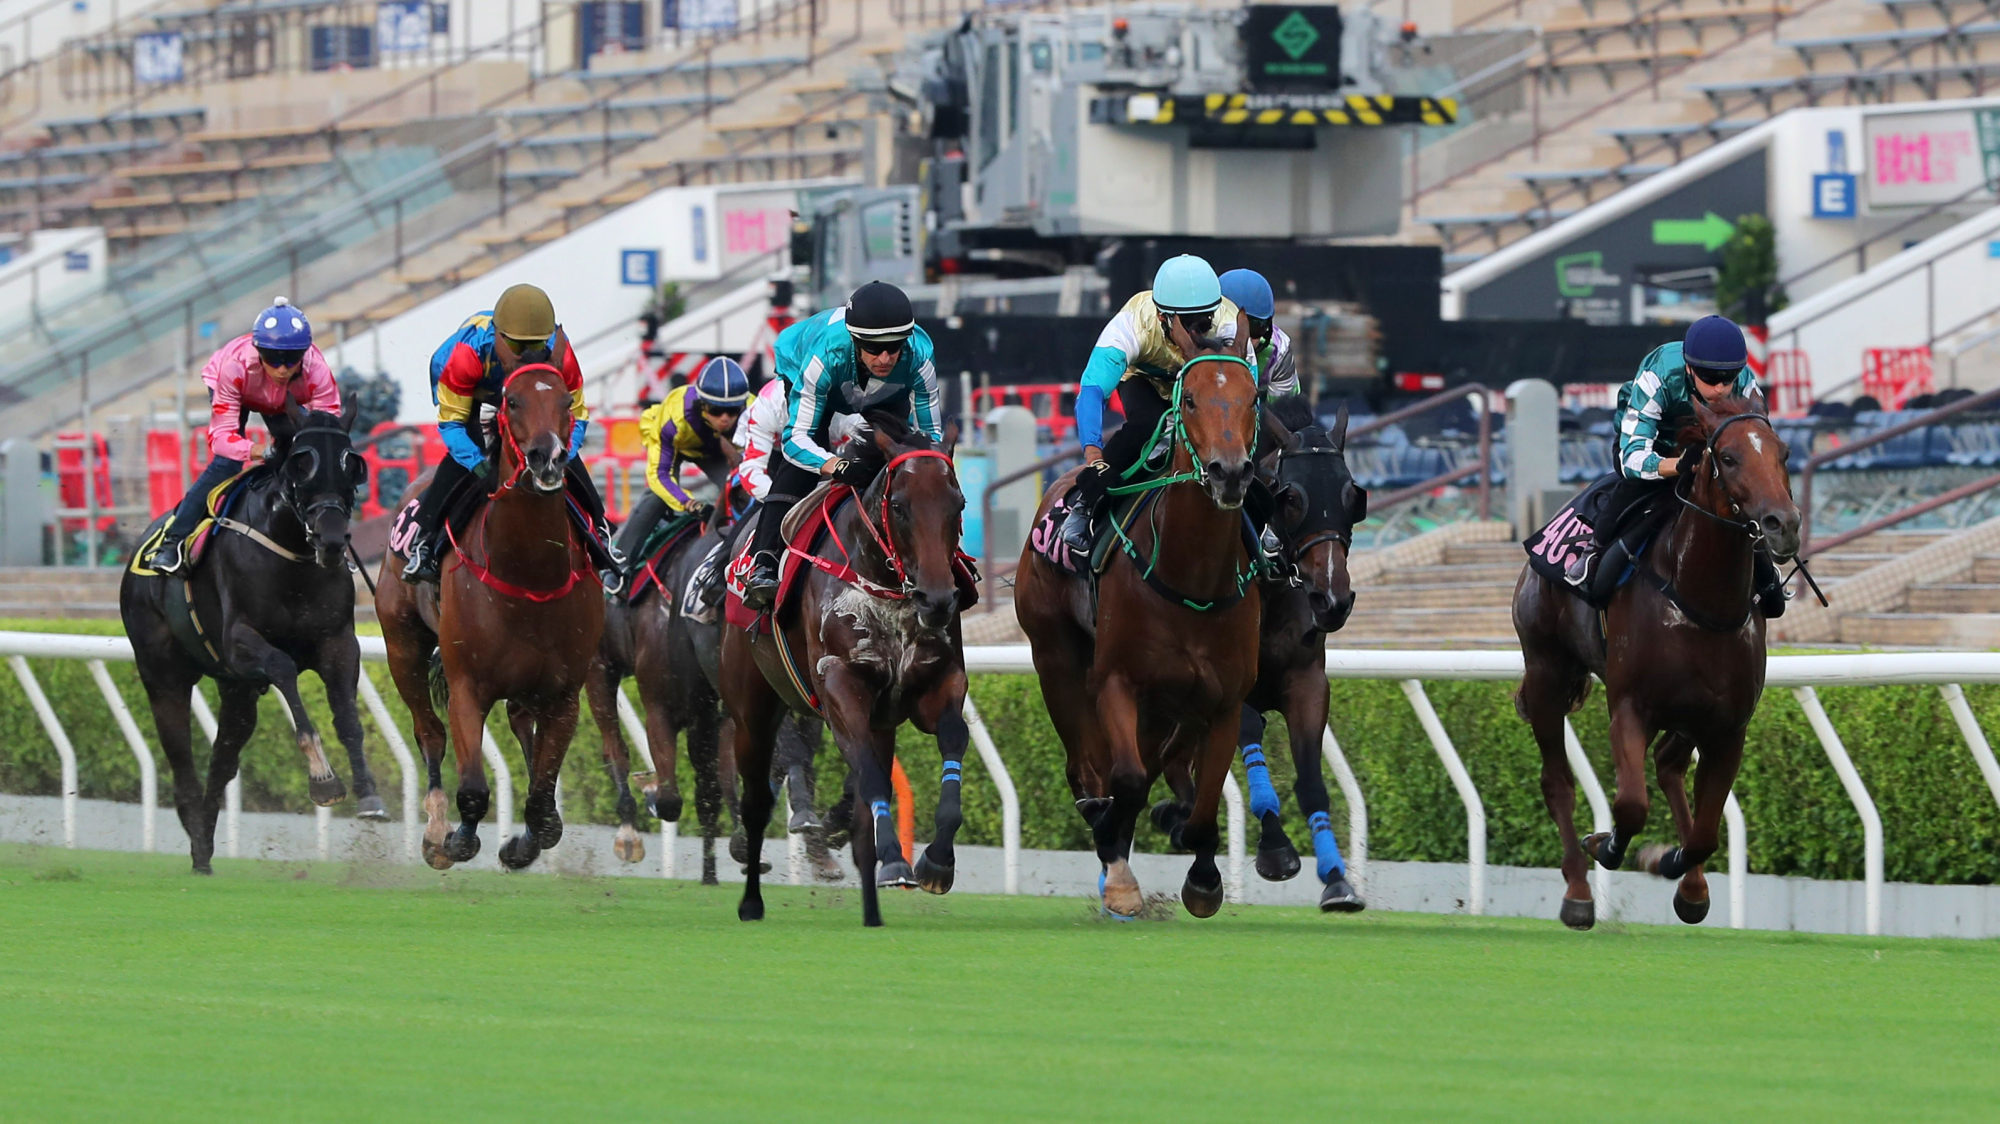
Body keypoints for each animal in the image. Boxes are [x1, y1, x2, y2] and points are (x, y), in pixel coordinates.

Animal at [120, 398, 378, 872]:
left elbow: (348, 717)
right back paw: (195, 836)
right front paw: (321, 776)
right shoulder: (240, 643)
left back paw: (203, 844)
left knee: (221, 762)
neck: (292, 557)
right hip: (163, 677)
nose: (333, 540)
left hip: (236, 692)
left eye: (352, 463)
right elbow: (283, 666)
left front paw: (368, 794)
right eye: (301, 463)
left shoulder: (338, 643)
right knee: (182, 763)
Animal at [376, 364, 604, 872]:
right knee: (429, 731)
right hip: (401, 645)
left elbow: (542, 800)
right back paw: (435, 826)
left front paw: (525, 841)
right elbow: (474, 788)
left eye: (567, 402)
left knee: (521, 726)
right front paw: (455, 839)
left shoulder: (564, 695)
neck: (529, 573)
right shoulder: (466, 685)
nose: (547, 458)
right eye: (512, 401)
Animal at [724, 390, 972, 924]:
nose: (939, 600)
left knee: (858, 825)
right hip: (751, 709)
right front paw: (897, 862)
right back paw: (751, 900)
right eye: (899, 506)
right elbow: (870, 775)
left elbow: (953, 743)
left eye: (958, 503)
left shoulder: (935, 684)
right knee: (755, 801)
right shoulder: (840, 688)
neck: (883, 584)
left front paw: (937, 861)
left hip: (881, 720)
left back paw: (871, 910)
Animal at [1016, 318, 1264, 920]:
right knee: (1087, 767)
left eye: (1252, 397)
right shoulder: (1116, 681)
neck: (1193, 578)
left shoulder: (1223, 701)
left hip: (1164, 703)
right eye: (1190, 398)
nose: (1229, 473)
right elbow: (1124, 779)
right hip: (1055, 657)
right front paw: (1116, 860)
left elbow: (1202, 802)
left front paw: (1204, 878)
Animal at [1512, 394, 1800, 928]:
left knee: (1668, 764)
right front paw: (1606, 845)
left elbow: (1705, 832)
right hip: (1545, 670)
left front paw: (1675, 867)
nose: (1783, 525)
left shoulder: (1728, 726)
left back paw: (1687, 880)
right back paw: (1578, 891)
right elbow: (1630, 805)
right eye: (1728, 457)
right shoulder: (1630, 707)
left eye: (1784, 453)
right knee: (1557, 780)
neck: (1700, 601)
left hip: (1688, 712)